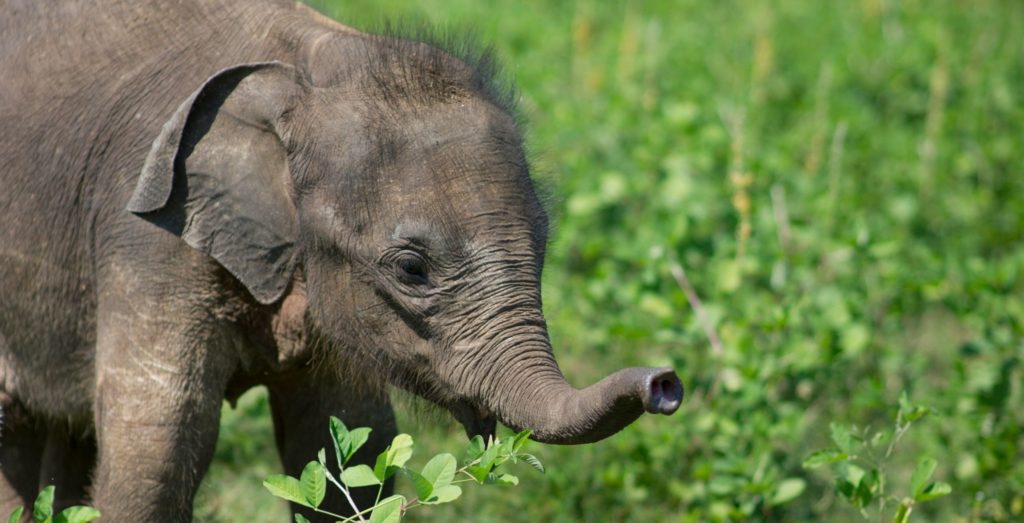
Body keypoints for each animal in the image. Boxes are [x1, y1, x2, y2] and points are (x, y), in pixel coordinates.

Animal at [0, 0, 683, 521]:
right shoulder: (146, 238)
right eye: (411, 269)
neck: (304, 69)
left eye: (543, 247)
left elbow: (347, 443)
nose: (665, 383)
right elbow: (157, 450)